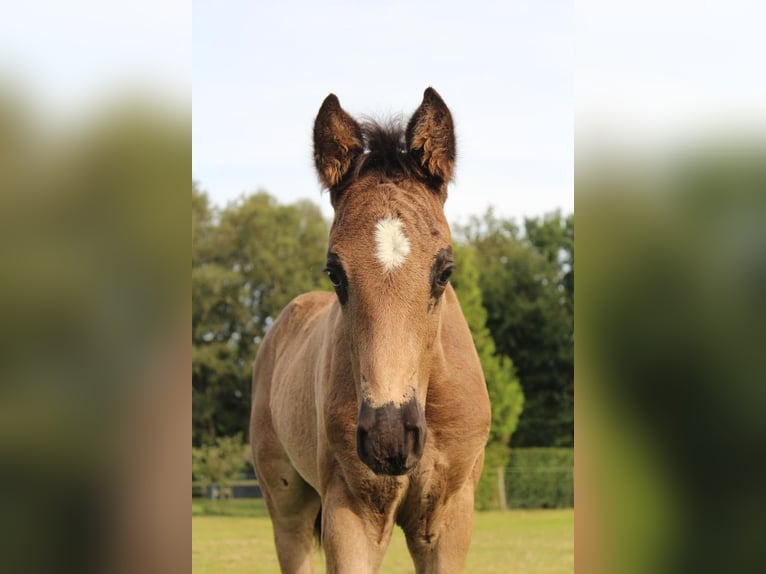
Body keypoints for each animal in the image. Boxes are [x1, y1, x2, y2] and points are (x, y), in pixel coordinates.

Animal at [252, 88, 492, 572]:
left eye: (445, 270)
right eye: (334, 272)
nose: (389, 438)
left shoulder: (450, 517)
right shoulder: (351, 515)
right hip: (287, 506)